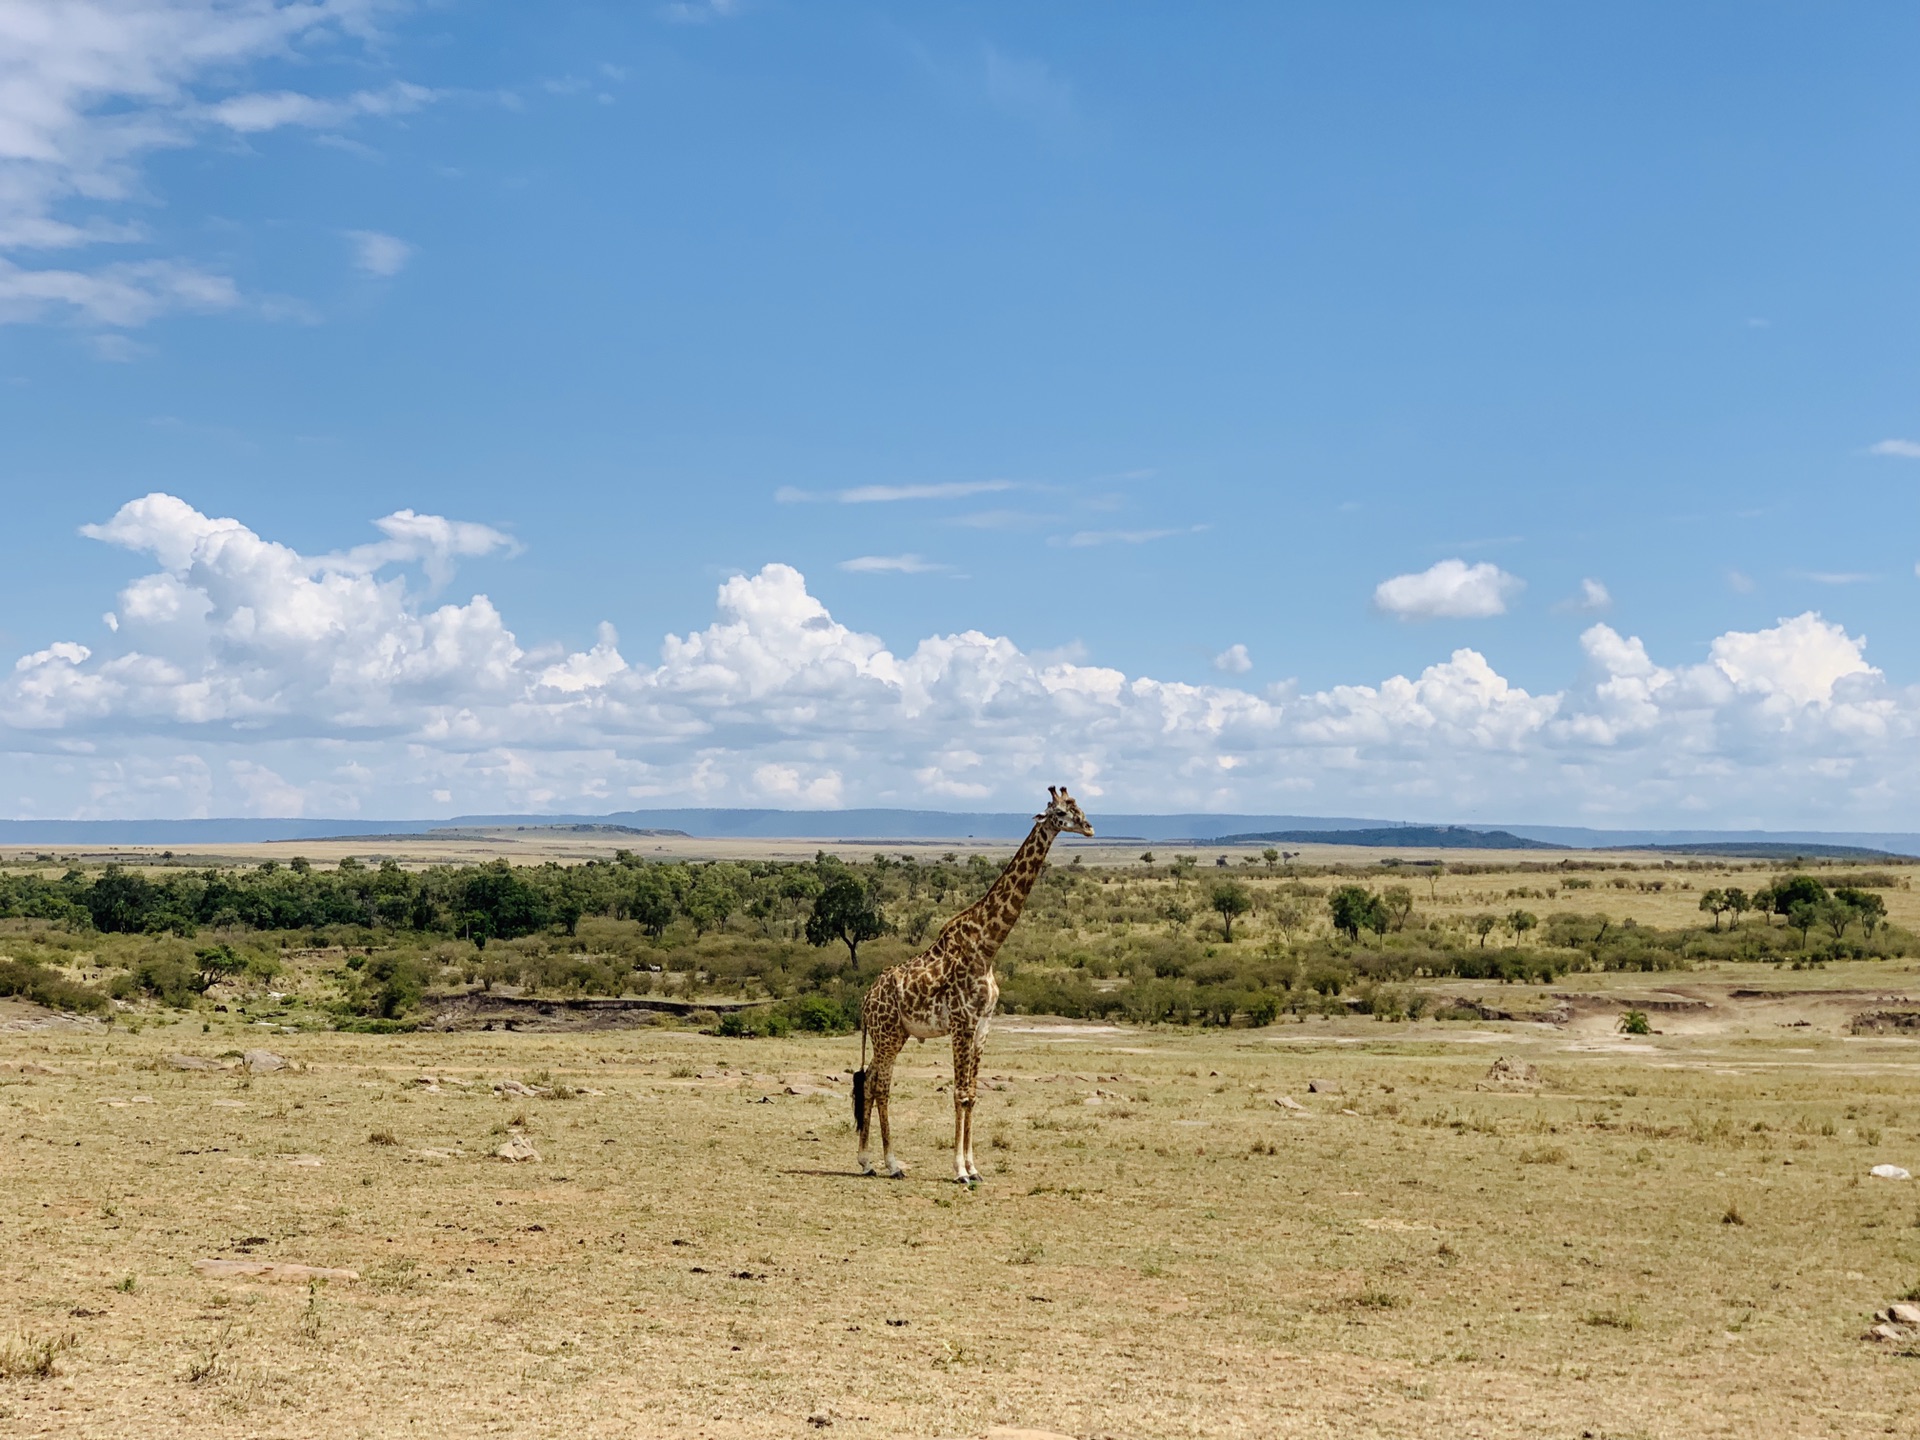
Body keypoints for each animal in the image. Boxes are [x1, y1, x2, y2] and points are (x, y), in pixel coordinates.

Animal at [856, 791, 1098, 1182]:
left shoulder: (984, 1025)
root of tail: (866, 997)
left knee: (869, 1080)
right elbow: (960, 1093)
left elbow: (973, 1094)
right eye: (1061, 812)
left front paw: (974, 1167)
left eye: (1080, 808)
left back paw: (867, 1161)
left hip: (895, 1034)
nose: (1090, 828)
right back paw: (890, 1164)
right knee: (880, 1085)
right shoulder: (962, 1023)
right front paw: (960, 1170)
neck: (987, 946)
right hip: (887, 1033)